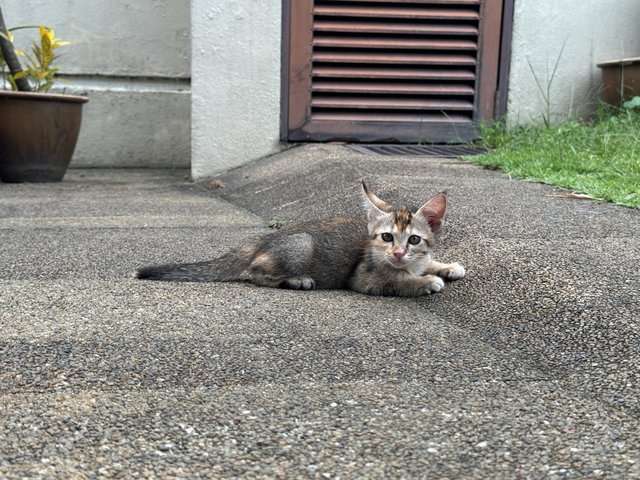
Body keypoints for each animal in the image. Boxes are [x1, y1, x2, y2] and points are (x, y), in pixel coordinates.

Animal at [135, 183, 464, 296]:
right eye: (386, 237)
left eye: (414, 240)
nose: (397, 253)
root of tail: (261, 239)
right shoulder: (363, 278)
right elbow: (397, 281)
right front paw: (424, 282)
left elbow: (427, 262)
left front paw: (445, 266)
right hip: (301, 246)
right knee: (255, 271)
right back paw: (295, 280)